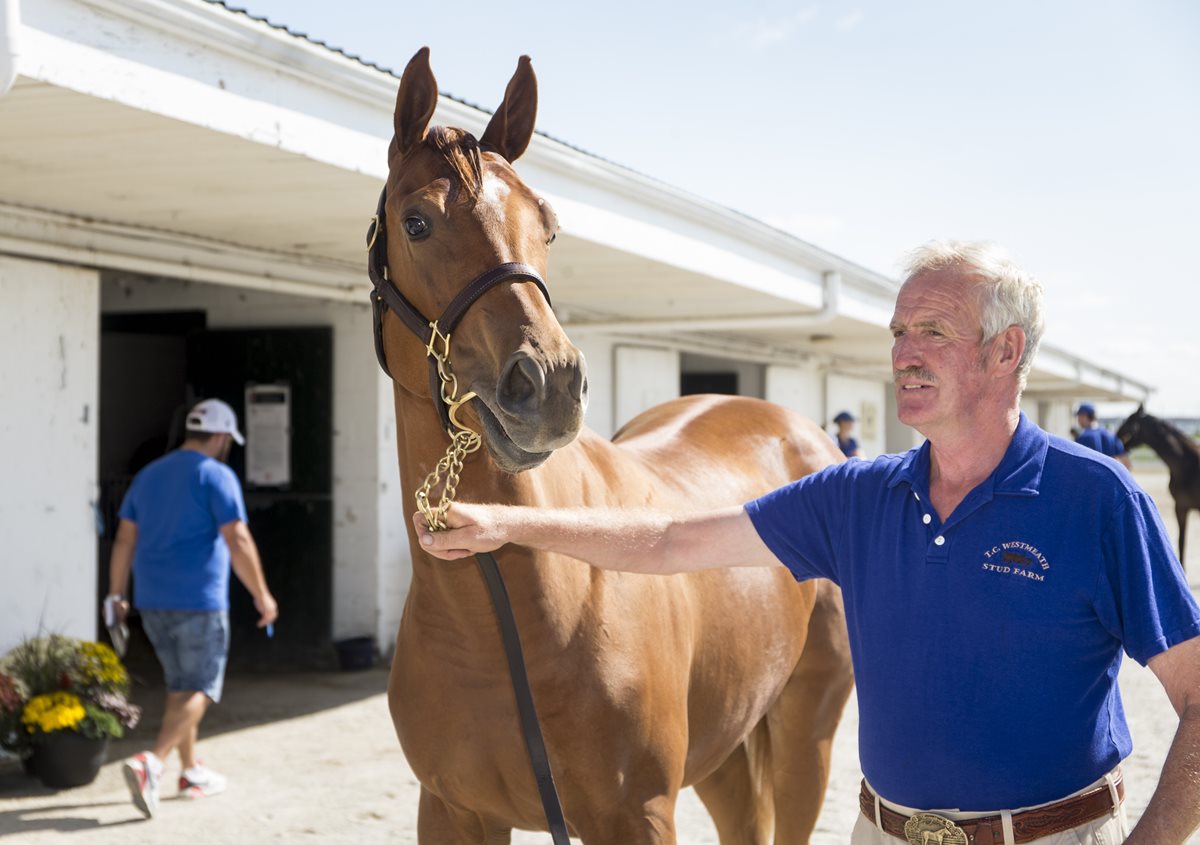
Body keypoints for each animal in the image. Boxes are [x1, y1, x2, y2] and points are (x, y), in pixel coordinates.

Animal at [379, 49, 859, 840]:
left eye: (548, 225)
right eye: (415, 221)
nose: (547, 384)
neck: (501, 614)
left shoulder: (637, 813)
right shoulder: (450, 810)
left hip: (805, 731)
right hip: (723, 746)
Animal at [1113, 403, 1200, 566]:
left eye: (1129, 422)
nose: (1116, 437)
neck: (1186, 462)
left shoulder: (1181, 506)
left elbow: (1181, 542)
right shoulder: (1182, 507)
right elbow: (1181, 542)